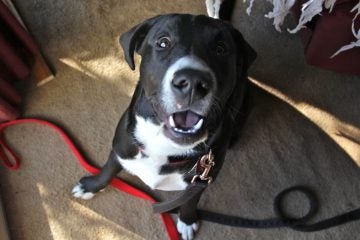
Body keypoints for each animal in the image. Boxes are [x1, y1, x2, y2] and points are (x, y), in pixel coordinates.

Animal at [71, 13, 255, 240]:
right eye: (163, 42)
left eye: (220, 48)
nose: (193, 82)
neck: (163, 144)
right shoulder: (122, 147)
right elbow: (108, 170)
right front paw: (91, 186)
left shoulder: (201, 180)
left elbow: (190, 200)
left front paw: (187, 220)